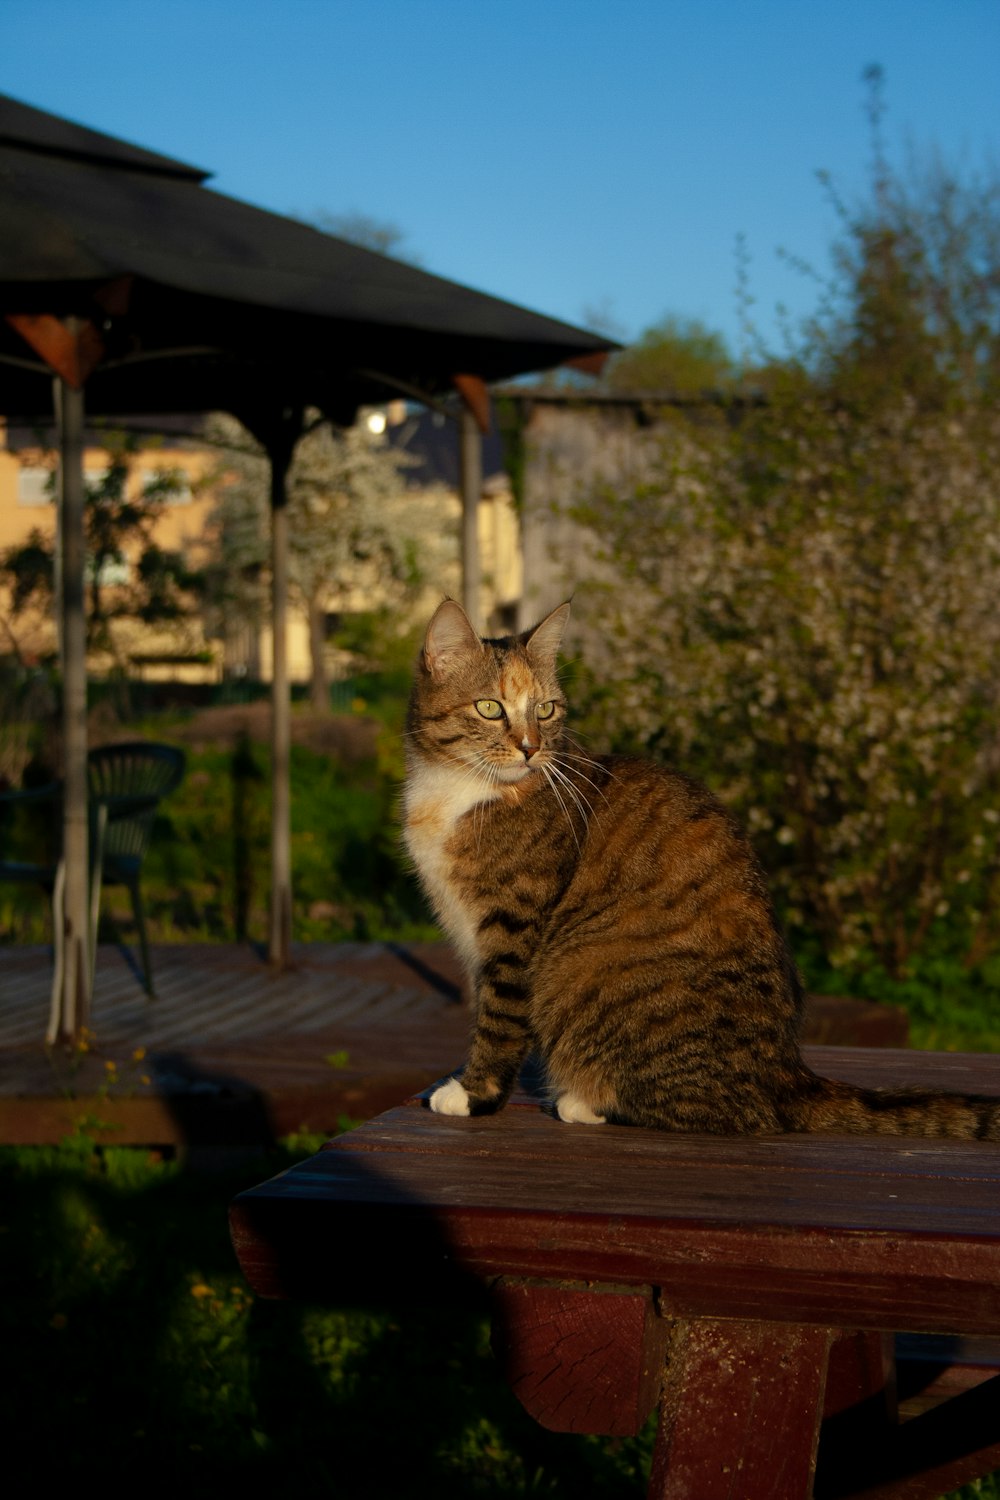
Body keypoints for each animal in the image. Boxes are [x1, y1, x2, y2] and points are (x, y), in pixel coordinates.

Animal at [404, 597, 1000, 1134]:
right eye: (490, 708)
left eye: (545, 710)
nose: (531, 748)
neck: (461, 791)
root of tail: (786, 1072)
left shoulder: (512, 931)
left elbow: (499, 1021)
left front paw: (472, 1095)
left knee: (734, 1115)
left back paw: (585, 1100)